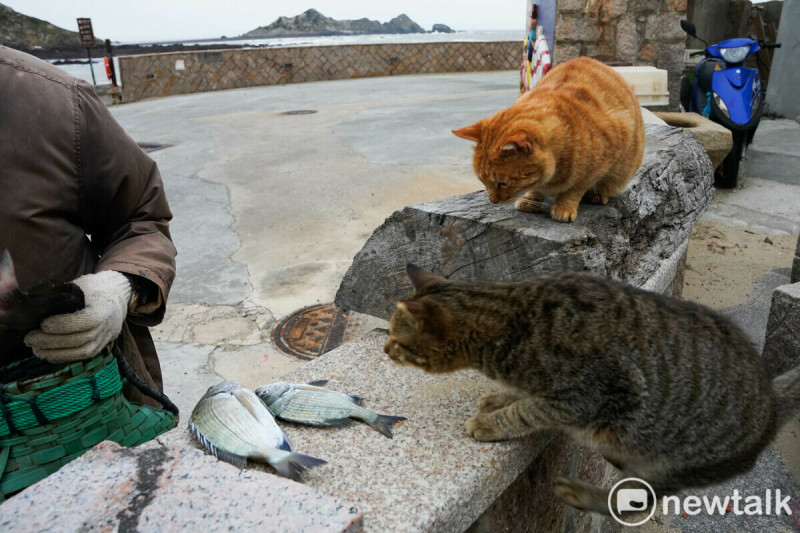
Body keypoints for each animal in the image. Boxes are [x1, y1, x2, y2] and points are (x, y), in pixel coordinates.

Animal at [382, 266, 800, 516]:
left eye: (397, 340)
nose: (385, 349)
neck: (512, 317)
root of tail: (772, 404)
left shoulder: (587, 397)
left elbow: (529, 411)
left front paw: (492, 421)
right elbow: (524, 398)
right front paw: (501, 397)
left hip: (670, 464)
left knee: (639, 500)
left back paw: (586, 496)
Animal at [450, 57, 644, 223]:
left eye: (502, 183)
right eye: (482, 181)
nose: (493, 201)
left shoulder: (602, 161)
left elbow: (576, 188)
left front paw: (563, 207)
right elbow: (536, 188)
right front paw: (530, 199)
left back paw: (597, 195)